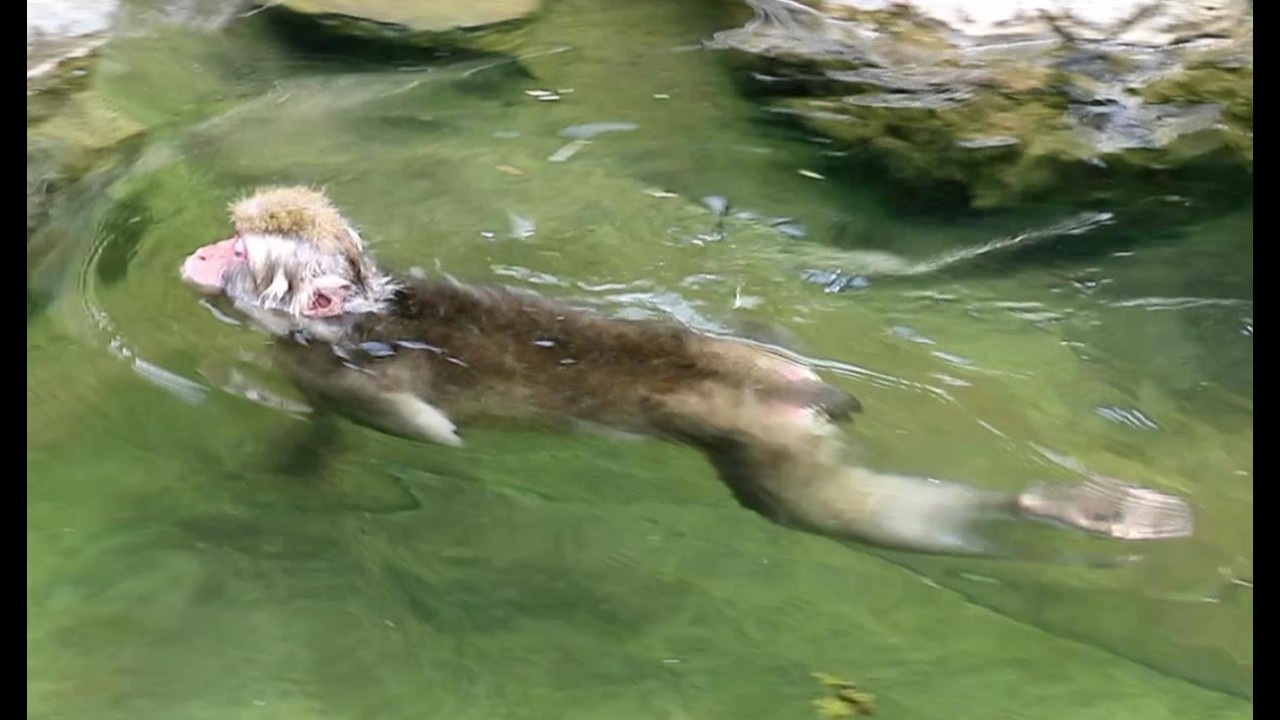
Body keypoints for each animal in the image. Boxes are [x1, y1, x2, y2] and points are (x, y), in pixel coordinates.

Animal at [178, 186, 1194, 558]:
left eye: (236, 248)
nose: (195, 252)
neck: (362, 316)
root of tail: (804, 385)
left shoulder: (337, 366)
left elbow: (399, 417)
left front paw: (433, 435)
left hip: (766, 435)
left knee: (810, 509)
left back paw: (1062, 509)